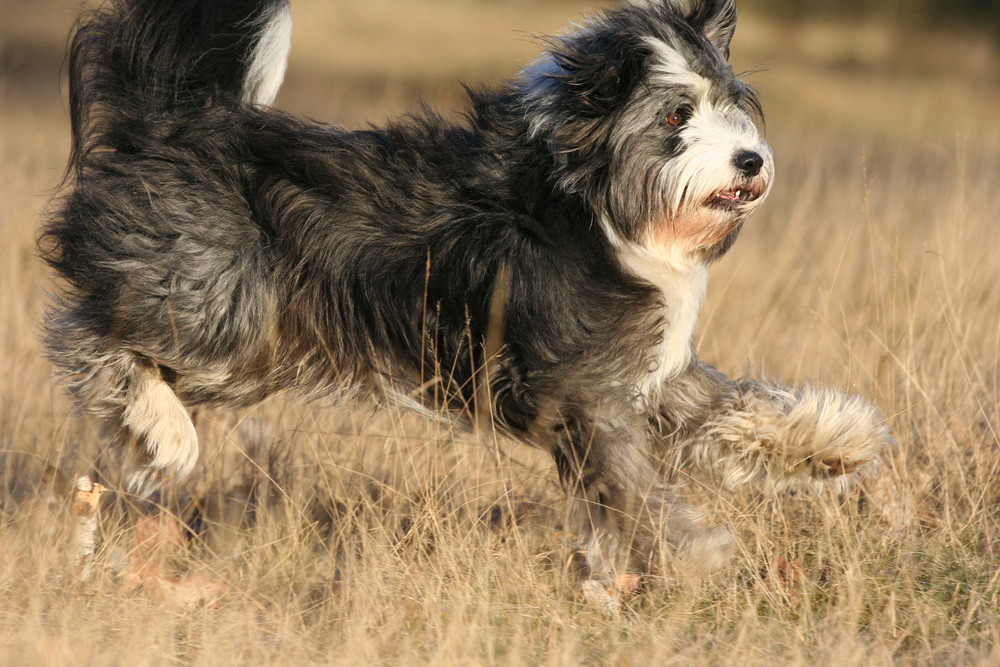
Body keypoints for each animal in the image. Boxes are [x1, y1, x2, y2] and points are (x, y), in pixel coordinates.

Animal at [43, 0, 896, 580]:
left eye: (730, 105)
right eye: (676, 115)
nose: (751, 161)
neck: (591, 205)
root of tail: (170, 122)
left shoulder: (646, 376)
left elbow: (731, 408)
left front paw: (834, 439)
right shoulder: (578, 391)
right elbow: (631, 487)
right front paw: (695, 552)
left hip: (255, 346)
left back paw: (146, 441)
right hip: (222, 297)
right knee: (86, 335)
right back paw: (165, 433)